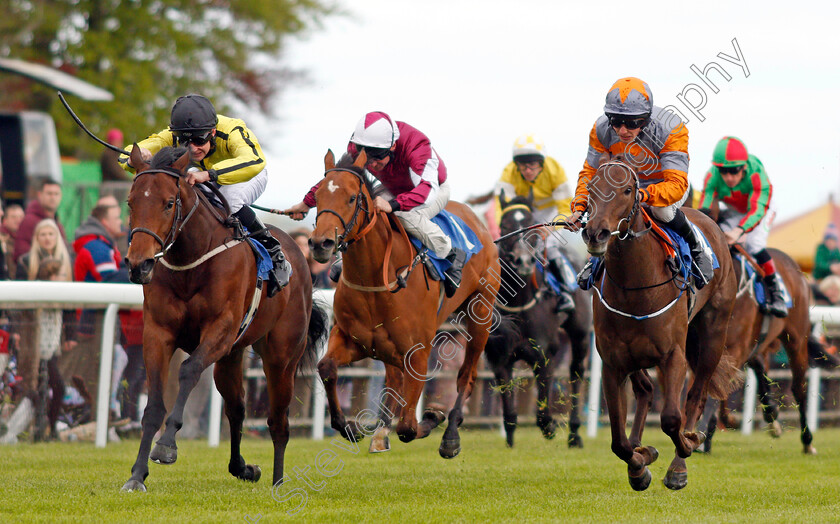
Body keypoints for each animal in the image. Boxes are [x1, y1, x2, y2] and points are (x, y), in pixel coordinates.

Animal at [121, 146, 328, 492]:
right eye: (131, 202)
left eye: (168, 203)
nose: (140, 264)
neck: (190, 261)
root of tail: (299, 255)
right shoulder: (158, 333)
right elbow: (153, 404)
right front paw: (137, 475)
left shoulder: (220, 329)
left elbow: (189, 371)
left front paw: (166, 446)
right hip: (230, 357)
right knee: (237, 409)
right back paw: (242, 467)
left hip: (281, 356)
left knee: (278, 420)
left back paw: (278, 482)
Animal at [312, 150, 502, 458]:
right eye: (316, 196)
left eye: (352, 198)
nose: (320, 244)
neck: (378, 281)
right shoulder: (354, 339)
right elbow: (326, 367)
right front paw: (350, 427)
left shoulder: (419, 352)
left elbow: (408, 428)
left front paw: (433, 416)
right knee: (393, 378)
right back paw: (380, 431)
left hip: (481, 312)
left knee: (466, 376)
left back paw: (450, 436)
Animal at [482, 194, 592, 448]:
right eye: (505, 226)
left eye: (531, 225)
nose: (522, 261)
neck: (520, 304)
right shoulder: (500, 358)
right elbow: (509, 412)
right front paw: (510, 443)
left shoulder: (544, 355)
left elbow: (542, 411)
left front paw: (549, 428)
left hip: (580, 334)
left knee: (576, 372)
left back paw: (575, 434)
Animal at [576, 156, 740, 492]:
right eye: (591, 188)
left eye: (627, 190)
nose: (596, 234)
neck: (635, 287)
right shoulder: (612, 361)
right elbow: (618, 440)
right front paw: (639, 465)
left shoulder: (672, 355)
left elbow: (671, 419)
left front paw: (687, 446)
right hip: (635, 355)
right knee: (646, 390)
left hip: (713, 334)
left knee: (696, 397)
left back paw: (680, 461)